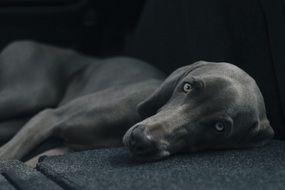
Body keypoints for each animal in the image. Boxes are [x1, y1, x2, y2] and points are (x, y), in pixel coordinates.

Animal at [0, 40, 272, 161]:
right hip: (28, 93)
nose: (140, 139)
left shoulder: (64, 149)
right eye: (187, 86)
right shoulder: (49, 117)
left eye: (220, 127)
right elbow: (7, 156)